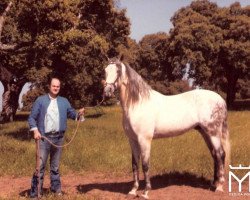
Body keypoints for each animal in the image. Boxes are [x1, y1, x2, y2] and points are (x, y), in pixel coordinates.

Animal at [102, 57, 229, 199]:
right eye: (105, 71)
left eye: (118, 71)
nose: (107, 92)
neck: (137, 104)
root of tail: (220, 100)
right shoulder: (132, 140)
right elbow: (135, 164)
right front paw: (133, 191)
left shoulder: (144, 140)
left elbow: (145, 165)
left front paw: (145, 192)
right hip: (205, 132)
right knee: (214, 155)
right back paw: (214, 183)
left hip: (213, 133)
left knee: (220, 154)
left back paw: (219, 187)